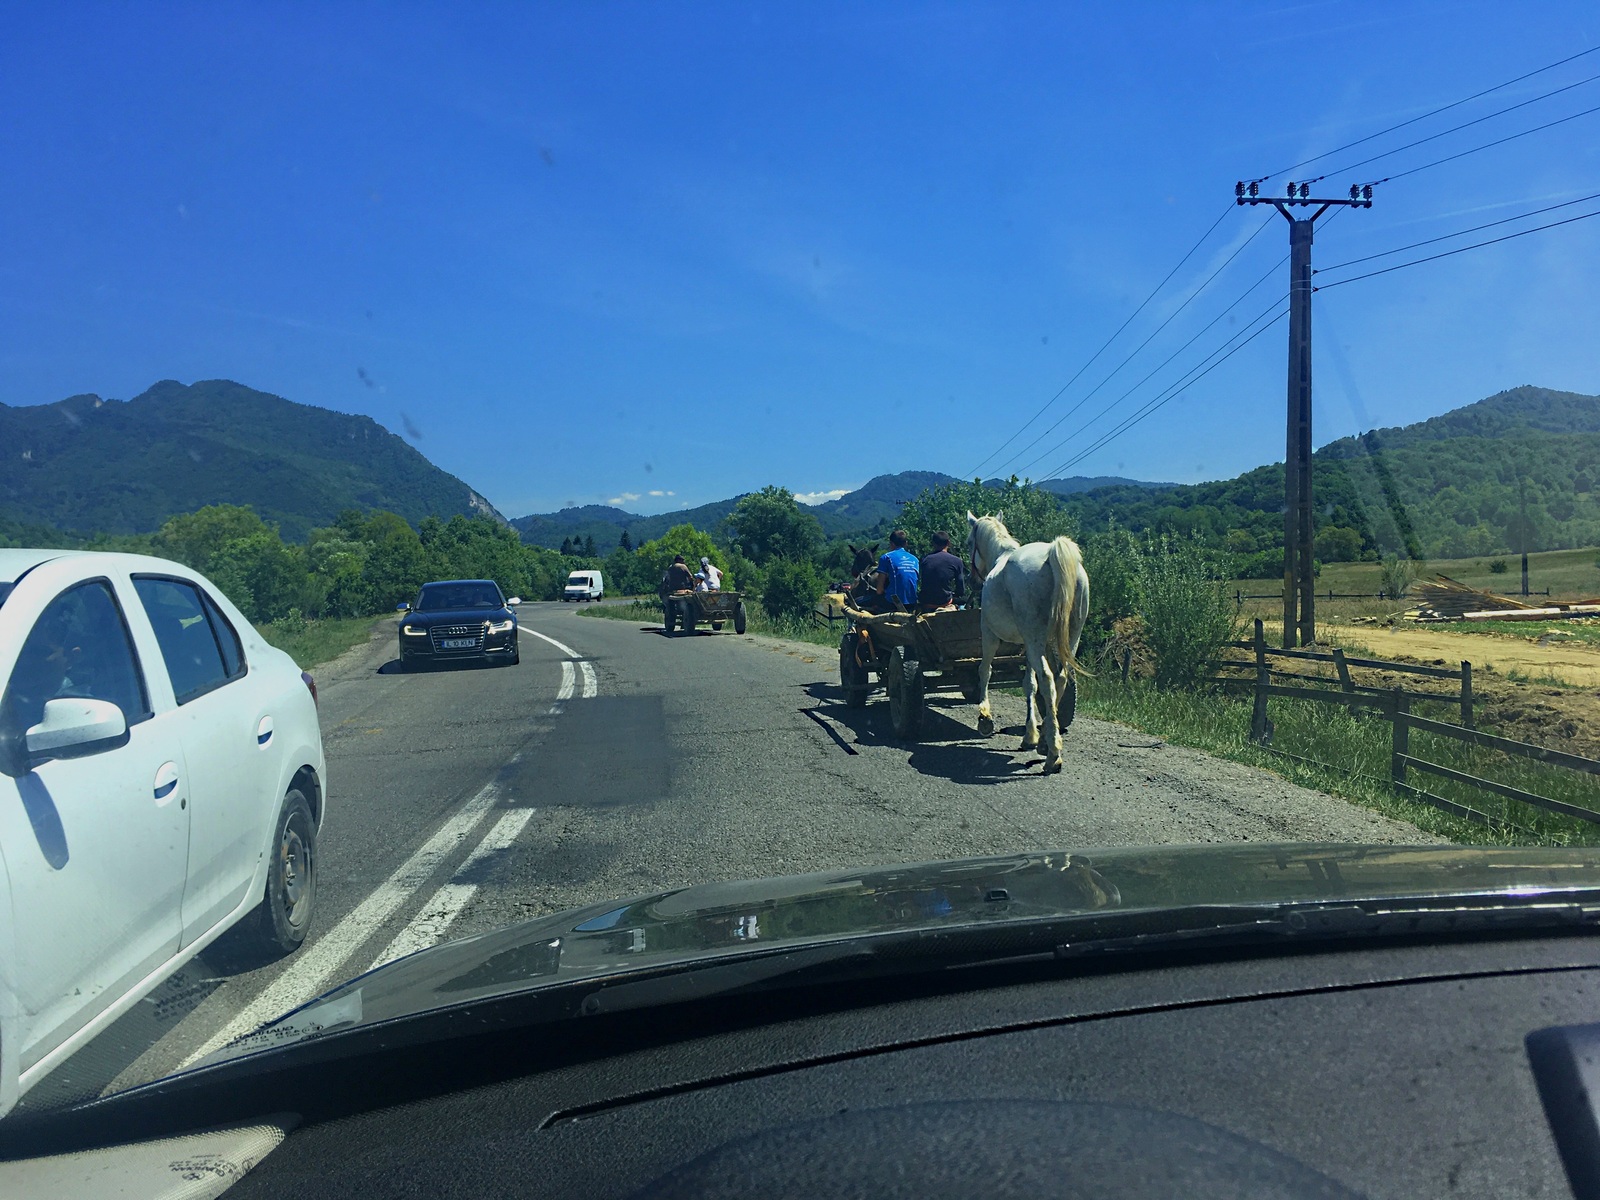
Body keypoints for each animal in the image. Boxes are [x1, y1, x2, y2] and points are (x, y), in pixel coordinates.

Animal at [960, 512, 1088, 774]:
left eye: (969, 543)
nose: (972, 581)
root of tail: (1051, 554)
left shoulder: (988, 633)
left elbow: (985, 670)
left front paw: (984, 717)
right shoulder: (1028, 646)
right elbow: (1029, 684)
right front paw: (1030, 736)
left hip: (1033, 639)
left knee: (1048, 679)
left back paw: (1053, 754)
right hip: (1068, 639)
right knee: (1060, 678)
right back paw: (1047, 741)